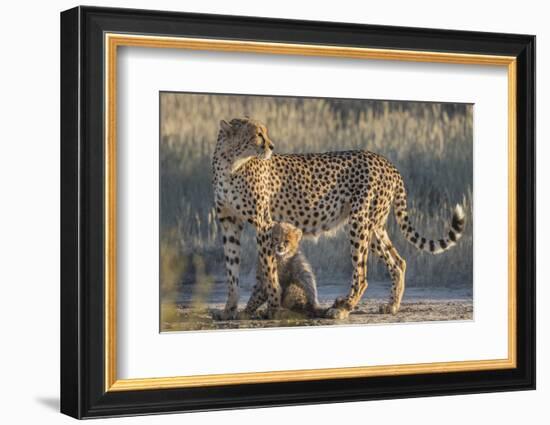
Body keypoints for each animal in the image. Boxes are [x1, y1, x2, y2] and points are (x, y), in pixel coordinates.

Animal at [211, 117, 466, 320]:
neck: (230, 164)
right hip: (374, 226)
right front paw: (229, 309)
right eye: (257, 134)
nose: (272, 146)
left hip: (359, 223)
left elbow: (268, 268)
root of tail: (385, 160)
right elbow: (232, 270)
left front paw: (272, 307)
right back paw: (391, 306)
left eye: (264, 132)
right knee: (398, 261)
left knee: (362, 273)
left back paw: (343, 307)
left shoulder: (263, 223)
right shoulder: (229, 222)